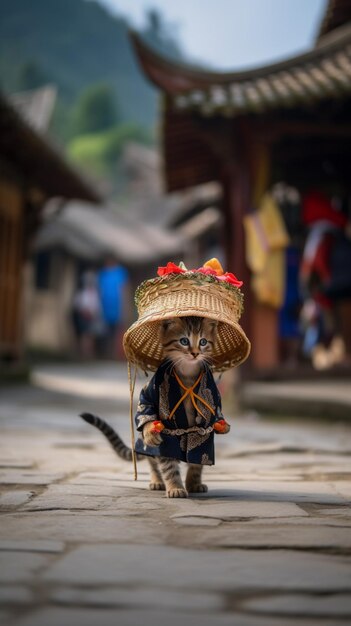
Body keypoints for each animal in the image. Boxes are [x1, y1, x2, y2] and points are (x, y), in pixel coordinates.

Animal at [80, 316, 228, 498]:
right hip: (150, 444)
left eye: (203, 342)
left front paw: (193, 483)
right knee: (153, 461)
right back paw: (157, 481)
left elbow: (197, 461)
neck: (187, 373)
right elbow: (168, 466)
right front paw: (175, 487)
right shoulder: (162, 423)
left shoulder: (204, 431)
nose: (195, 353)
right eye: (184, 341)